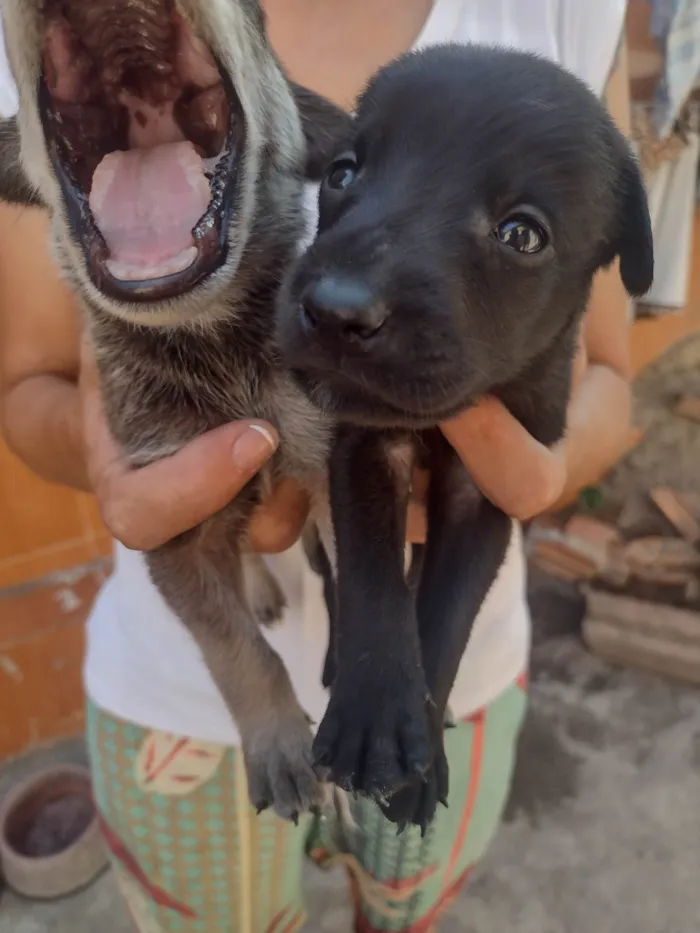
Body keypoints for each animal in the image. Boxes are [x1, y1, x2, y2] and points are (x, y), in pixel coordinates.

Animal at [0, 0, 350, 816]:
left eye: (258, 14)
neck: (213, 337)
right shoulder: (173, 518)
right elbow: (233, 647)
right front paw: (281, 745)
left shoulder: (334, 459)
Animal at [276, 43, 652, 832]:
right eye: (343, 174)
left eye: (522, 234)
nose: (334, 311)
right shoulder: (364, 450)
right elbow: (375, 584)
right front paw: (370, 721)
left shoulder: (495, 488)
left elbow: (446, 614)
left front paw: (418, 762)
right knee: (335, 586)